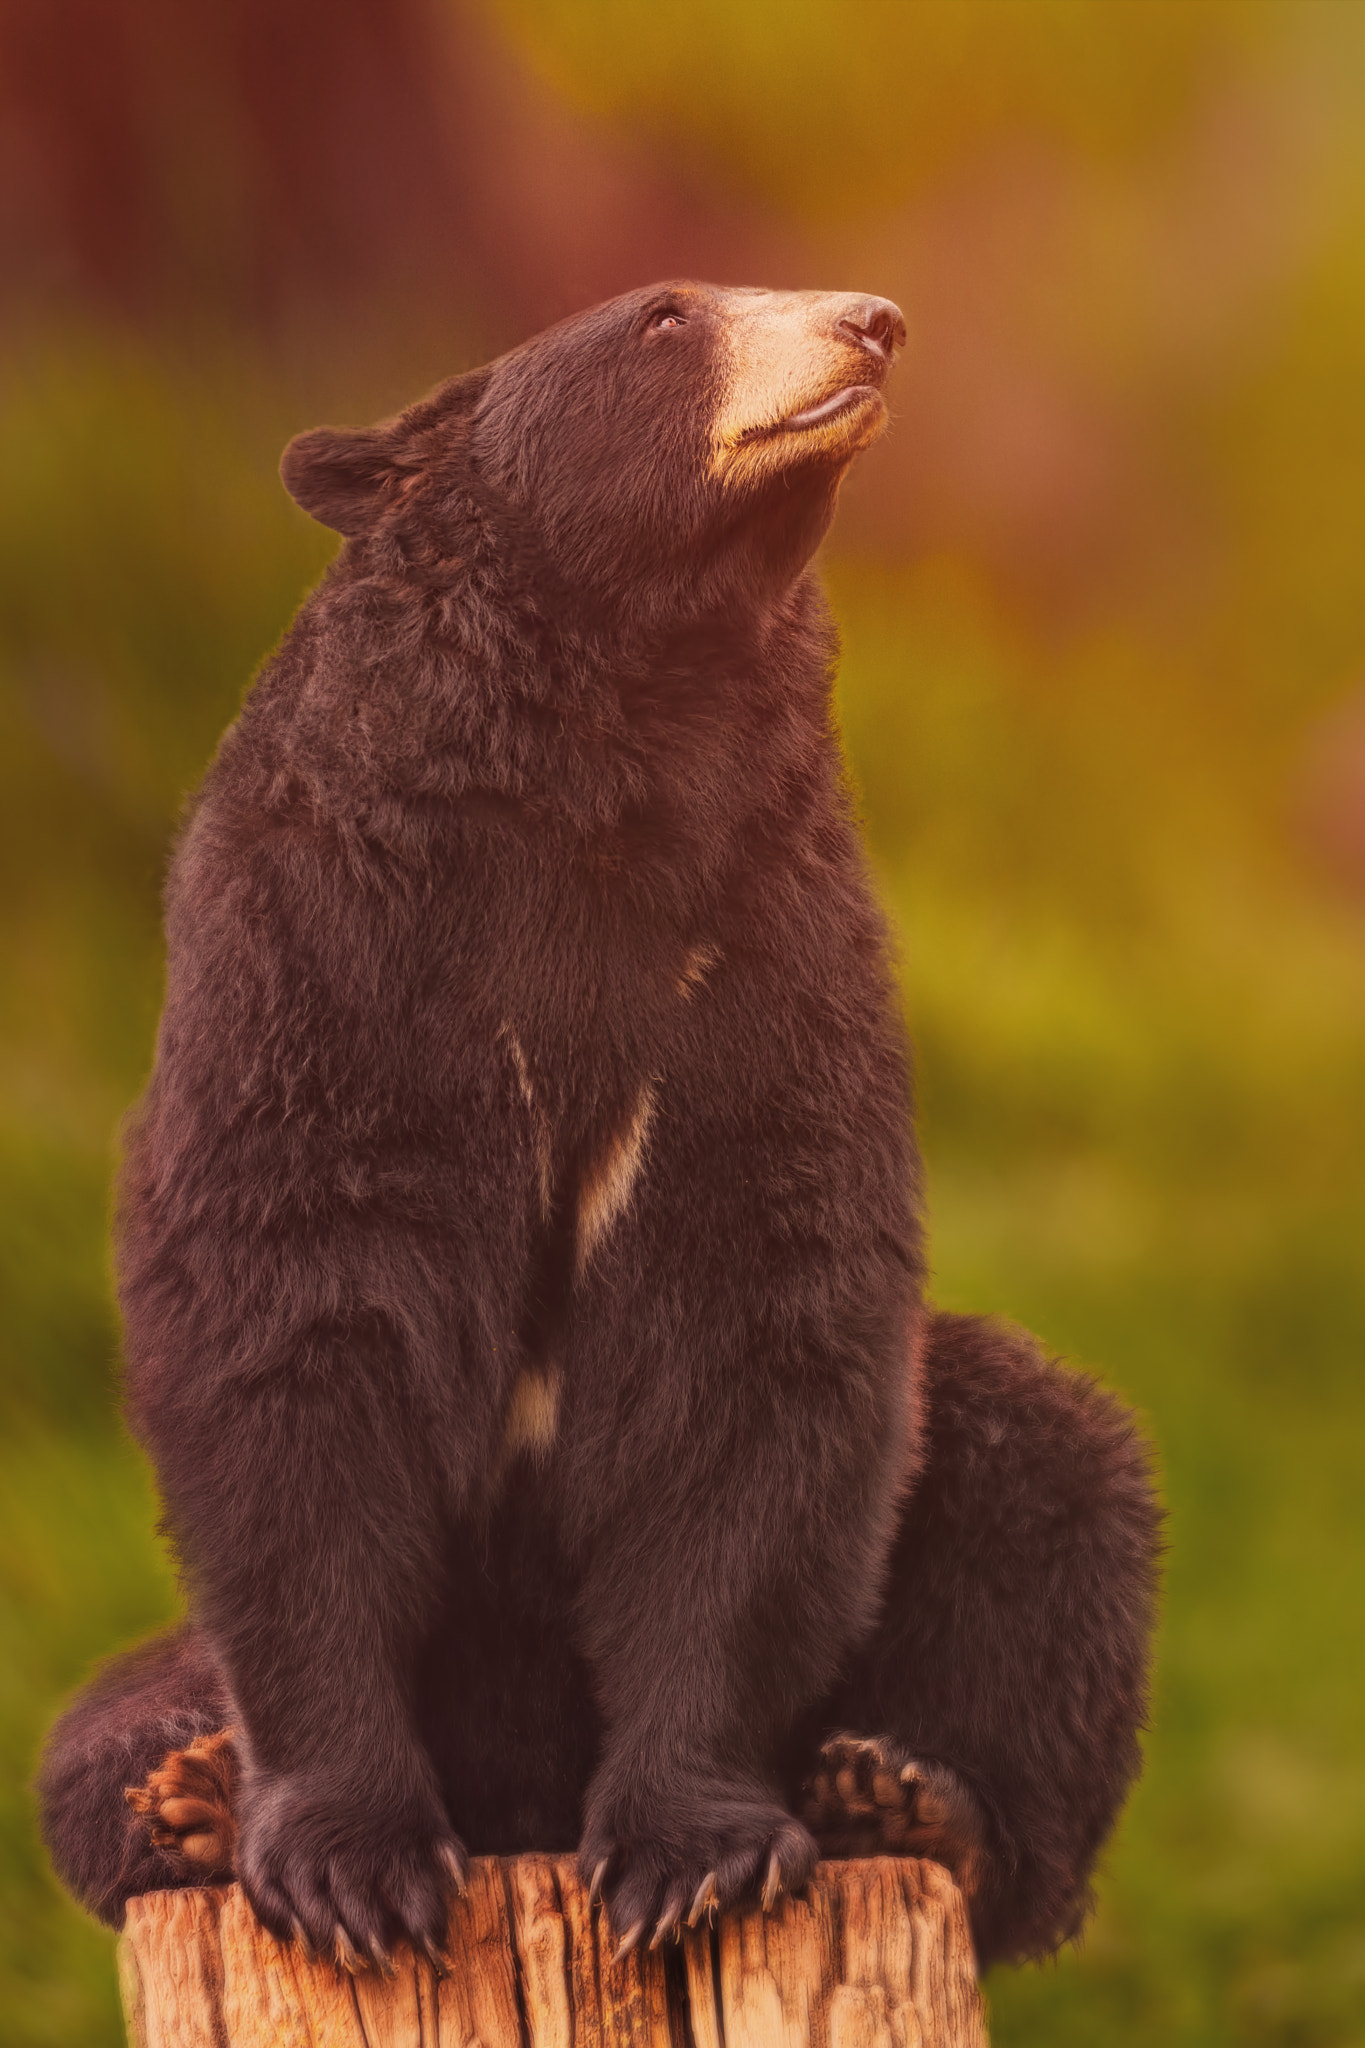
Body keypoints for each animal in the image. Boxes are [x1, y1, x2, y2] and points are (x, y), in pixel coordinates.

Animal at [39, 282, 1160, 1975]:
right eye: (664, 317)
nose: (872, 319)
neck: (603, 766)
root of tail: (521, 1797)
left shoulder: (761, 953)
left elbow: (756, 1337)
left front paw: (692, 1861)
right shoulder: (323, 951)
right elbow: (290, 1310)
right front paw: (351, 1873)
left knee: (1051, 1474)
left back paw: (907, 1796)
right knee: (79, 1750)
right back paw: (185, 1797)